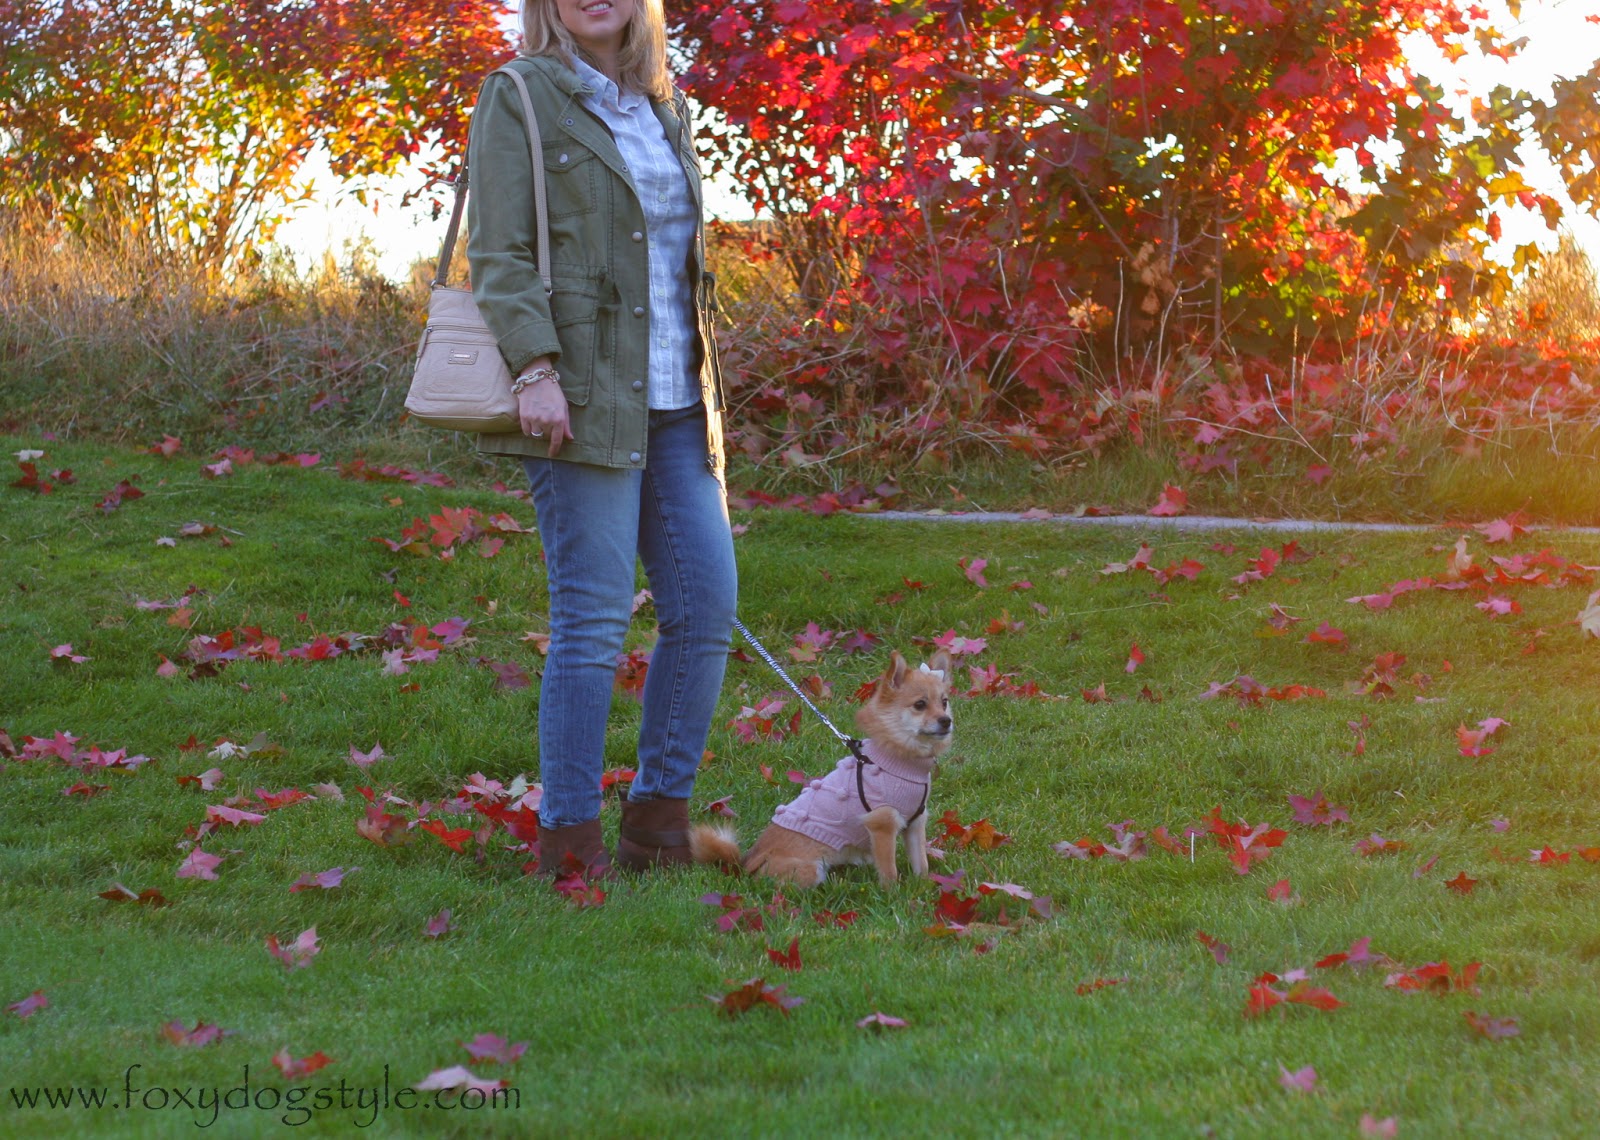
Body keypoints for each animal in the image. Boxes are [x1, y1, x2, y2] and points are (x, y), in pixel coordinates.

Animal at [690, 649, 954, 887]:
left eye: (944, 703)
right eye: (920, 704)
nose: (946, 720)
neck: (901, 759)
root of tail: (746, 865)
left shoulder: (916, 821)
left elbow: (921, 862)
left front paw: (923, 885)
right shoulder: (882, 823)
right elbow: (888, 869)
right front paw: (893, 894)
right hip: (810, 869)